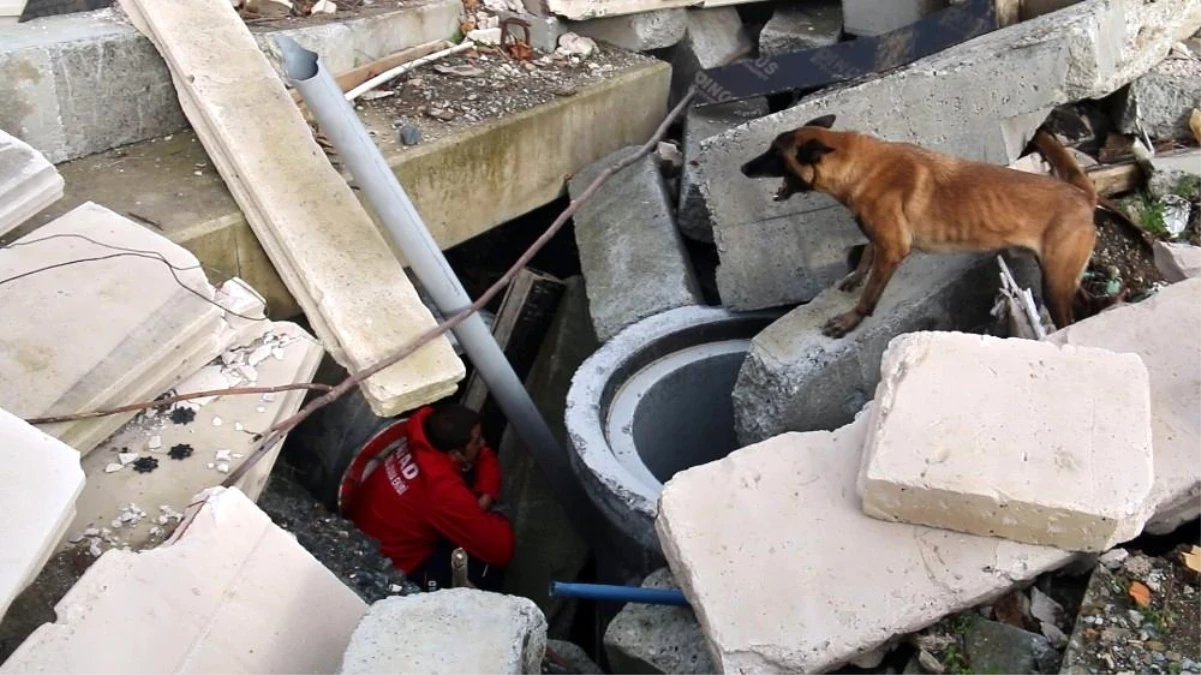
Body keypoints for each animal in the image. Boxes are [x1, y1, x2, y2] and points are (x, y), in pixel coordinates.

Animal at [739, 115, 1100, 338]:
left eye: (774, 154)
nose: (742, 168)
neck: (856, 164)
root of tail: (1082, 195)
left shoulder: (892, 248)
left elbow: (871, 293)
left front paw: (850, 319)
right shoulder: (880, 237)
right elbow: (867, 251)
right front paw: (856, 276)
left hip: (1054, 282)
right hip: (1060, 275)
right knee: (1082, 300)